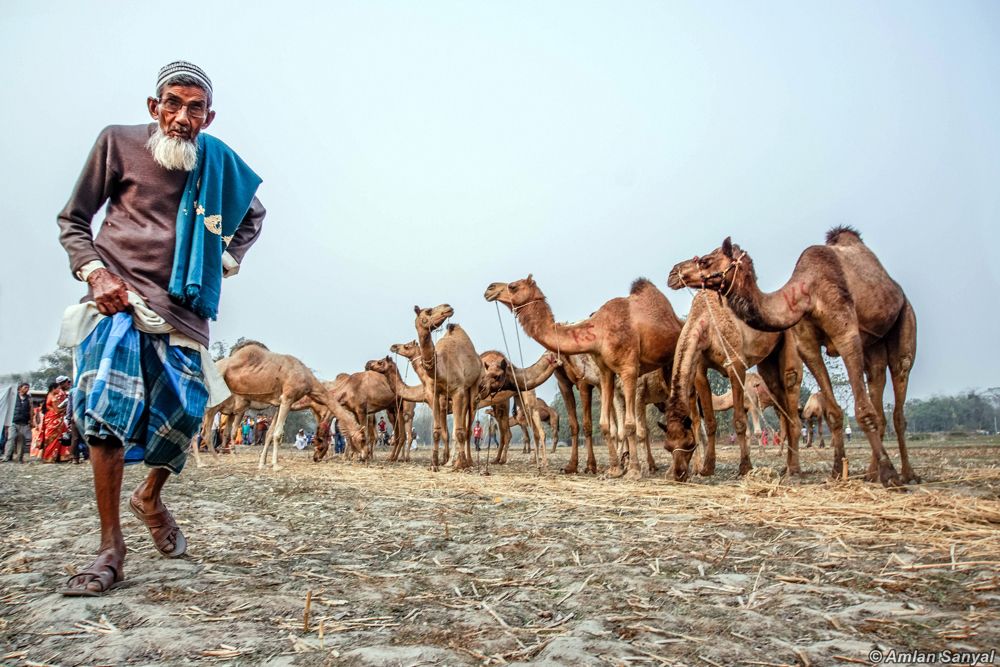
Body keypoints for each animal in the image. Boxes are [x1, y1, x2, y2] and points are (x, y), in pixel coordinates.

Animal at [213, 344, 366, 470]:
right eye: (363, 440)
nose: (364, 456)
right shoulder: (288, 398)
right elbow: (277, 433)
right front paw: (275, 465)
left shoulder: (279, 403)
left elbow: (269, 433)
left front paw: (262, 463)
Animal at [486, 276, 688, 480]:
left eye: (513, 286)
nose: (489, 289)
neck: (599, 331)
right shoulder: (603, 372)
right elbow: (601, 424)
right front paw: (611, 468)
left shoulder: (627, 369)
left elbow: (625, 424)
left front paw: (631, 470)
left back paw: (672, 469)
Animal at [656, 290, 804, 480]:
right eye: (667, 447)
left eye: (689, 443)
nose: (678, 474)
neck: (706, 320)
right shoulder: (700, 370)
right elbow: (710, 421)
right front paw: (707, 468)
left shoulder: (735, 364)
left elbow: (739, 421)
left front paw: (745, 467)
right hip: (769, 361)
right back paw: (785, 467)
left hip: (791, 342)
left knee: (791, 384)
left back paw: (794, 469)